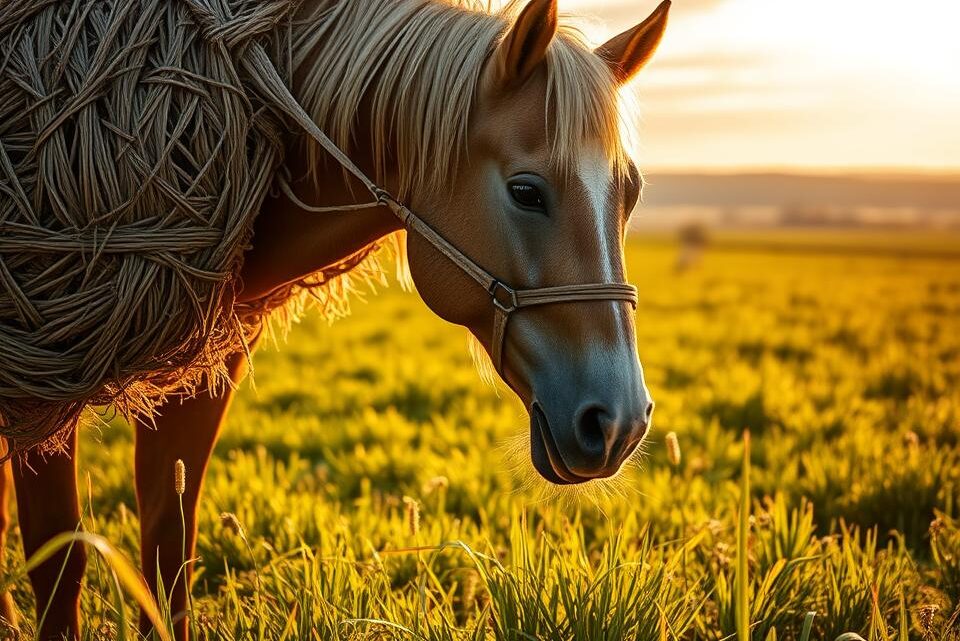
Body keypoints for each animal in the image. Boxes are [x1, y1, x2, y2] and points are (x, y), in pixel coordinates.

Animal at [0, 0, 669, 637]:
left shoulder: (197, 377)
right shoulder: (44, 383)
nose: (619, 422)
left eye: (631, 194)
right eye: (527, 192)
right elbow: (60, 562)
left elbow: (168, 556)